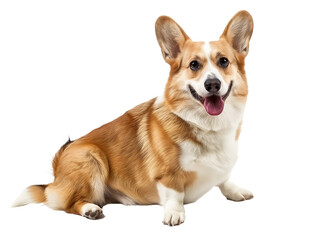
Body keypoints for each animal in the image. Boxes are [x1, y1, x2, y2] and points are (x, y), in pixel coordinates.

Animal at [13, 10, 255, 226]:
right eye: (194, 65)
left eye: (224, 61)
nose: (212, 84)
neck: (207, 124)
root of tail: (55, 174)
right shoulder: (167, 177)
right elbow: (175, 195)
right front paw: (174, 214)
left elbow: (223, 181)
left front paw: (235, 191)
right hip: (90, 157)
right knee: (69, 204)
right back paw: (90, 209)